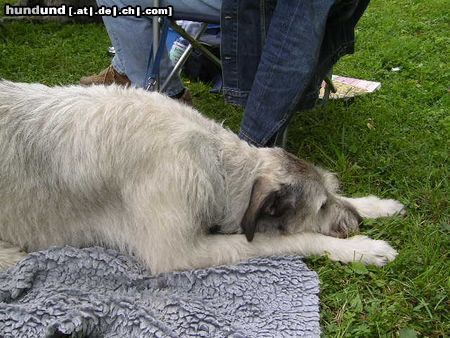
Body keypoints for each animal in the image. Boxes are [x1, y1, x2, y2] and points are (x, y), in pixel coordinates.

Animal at [0, 80, 402, 274]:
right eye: (319, 208)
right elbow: (289, 241)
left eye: (331, 192)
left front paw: (377, 205)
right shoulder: (178, 253)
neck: (215, 162)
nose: (356, 221)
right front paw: (362, 248)